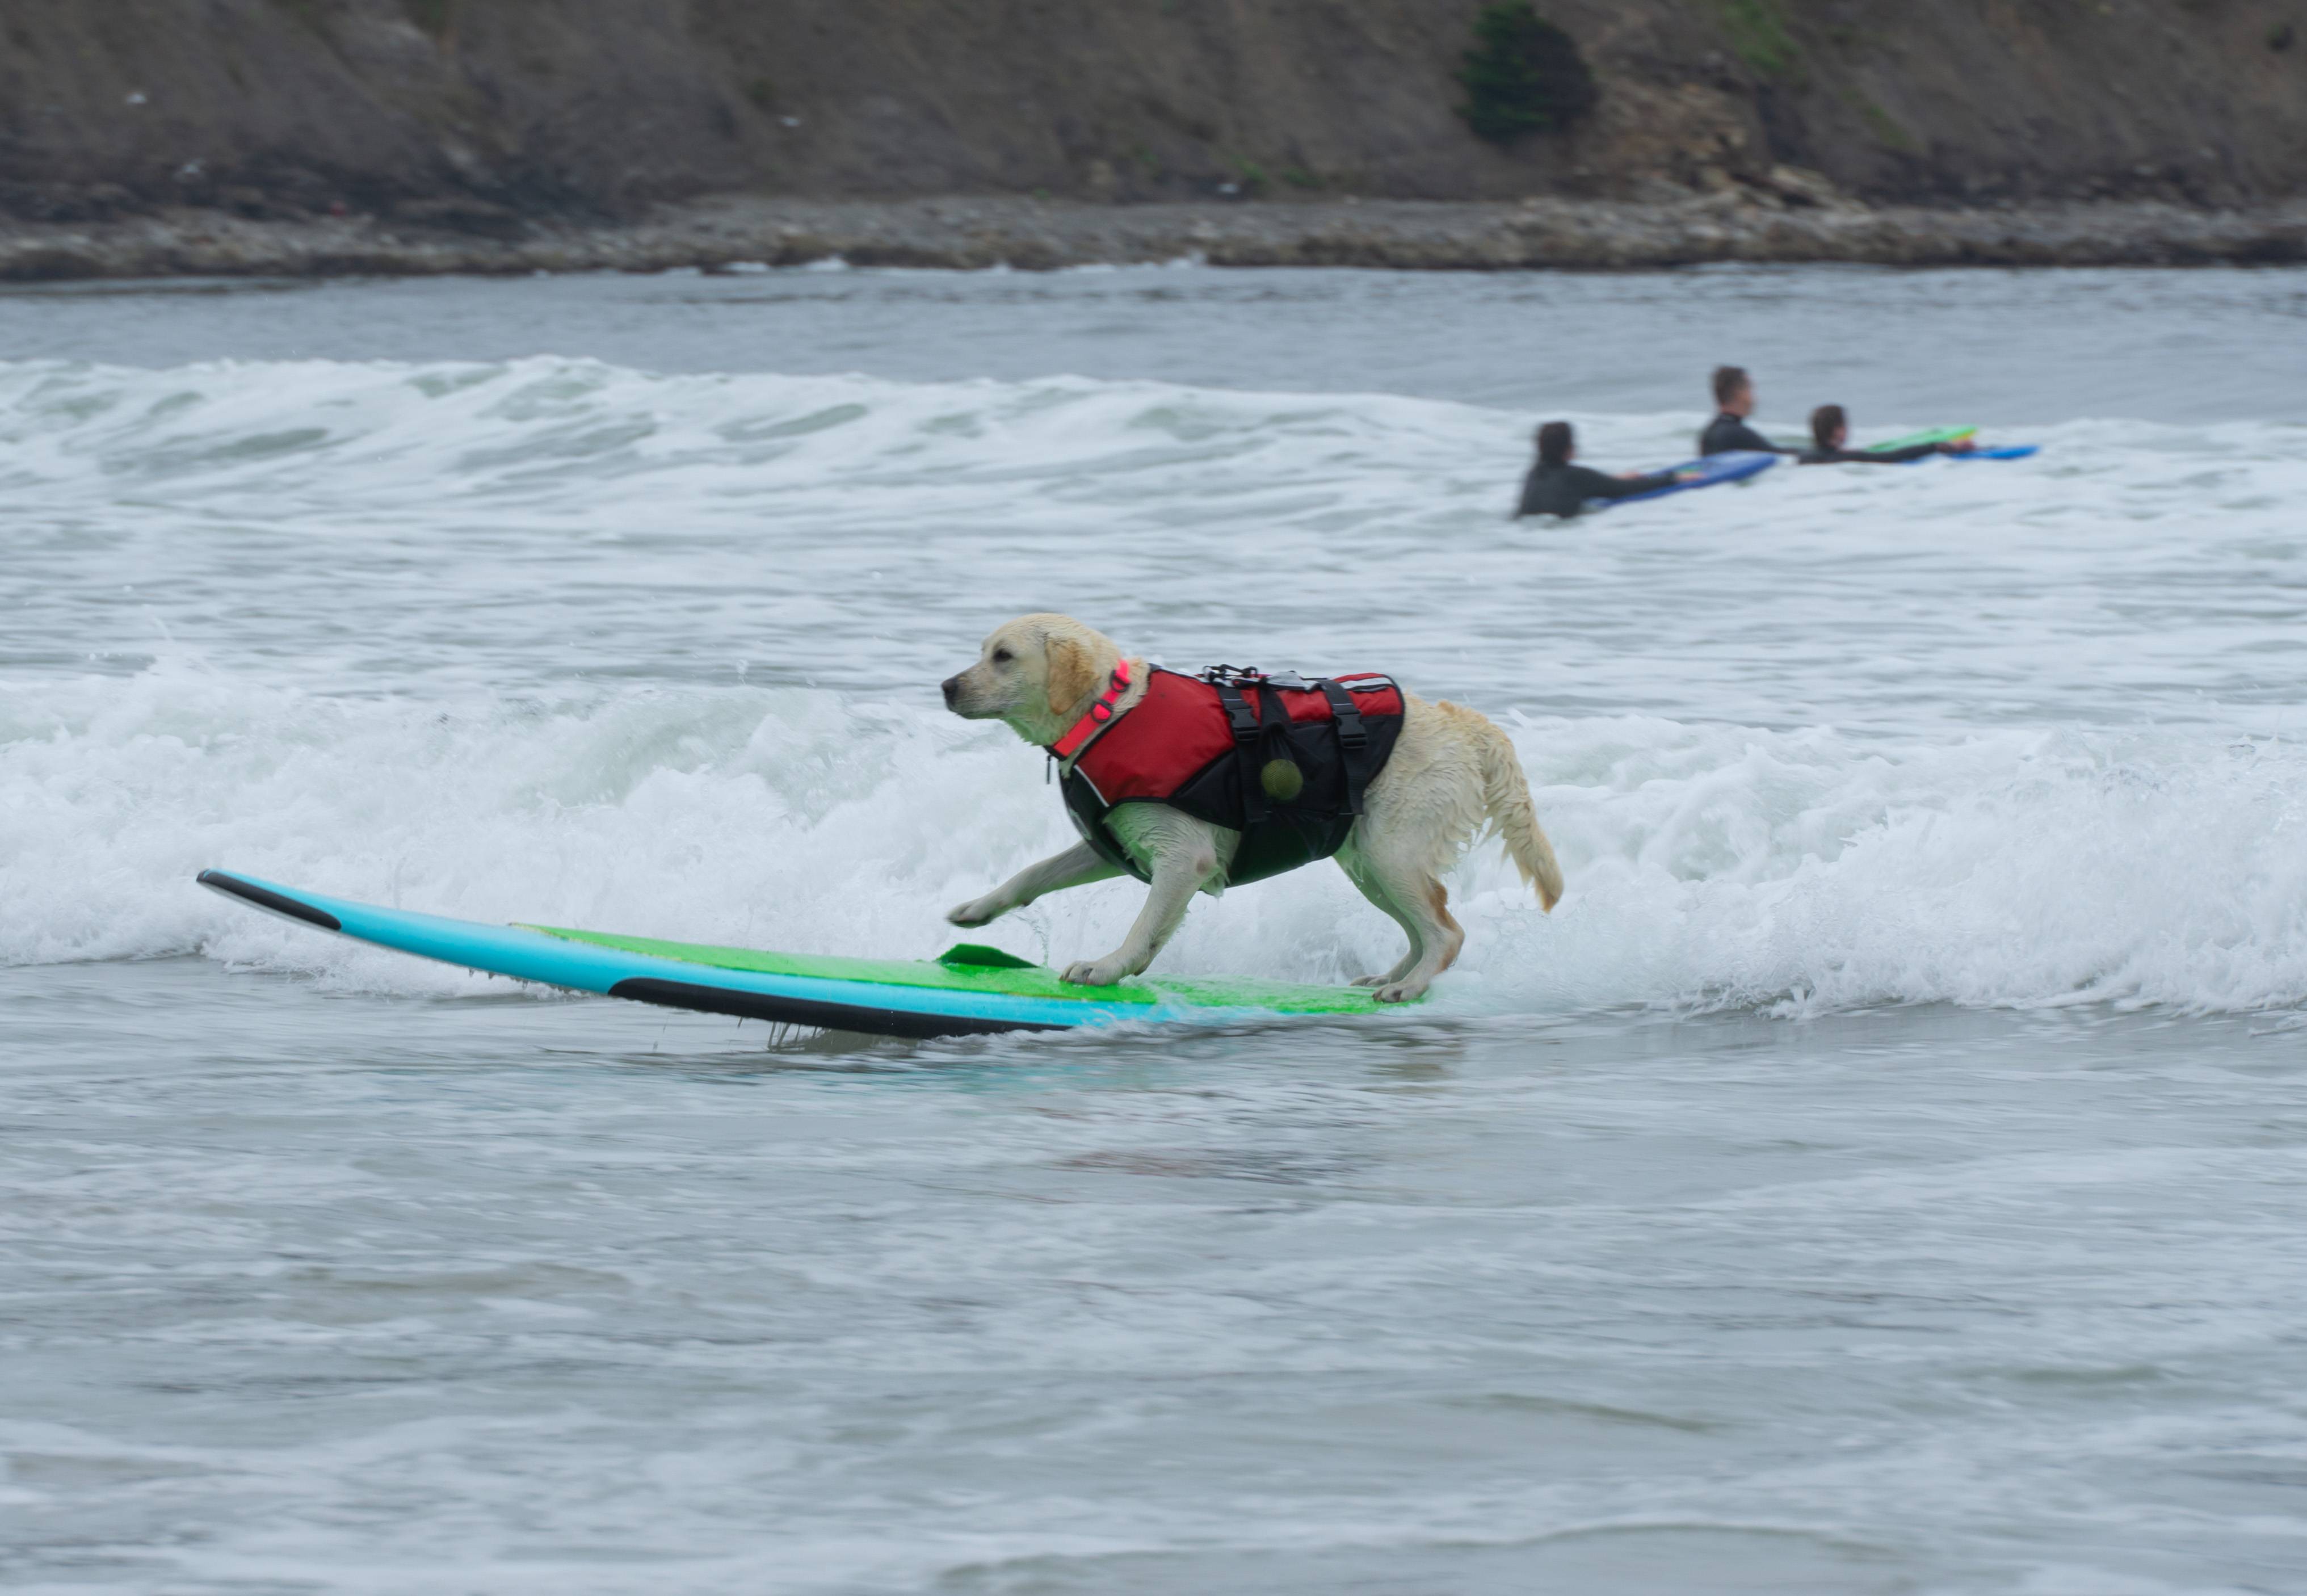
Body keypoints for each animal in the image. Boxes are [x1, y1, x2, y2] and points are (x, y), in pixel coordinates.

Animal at [941, 608, 1569, 996]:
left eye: (1003, 656)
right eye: (983, 652)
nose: (946, 686)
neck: (1108, 714)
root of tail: (1463, 723)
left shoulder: (1182, 857)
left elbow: (1146, 926)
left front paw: (1109, 966)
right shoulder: (1114, 842)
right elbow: (1032, 873)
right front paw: (978, 909)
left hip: (1391, 852)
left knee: (1446, 932)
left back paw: (1408, 986)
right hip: (1368, 863)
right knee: (1424, 927)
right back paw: (1387, 978)